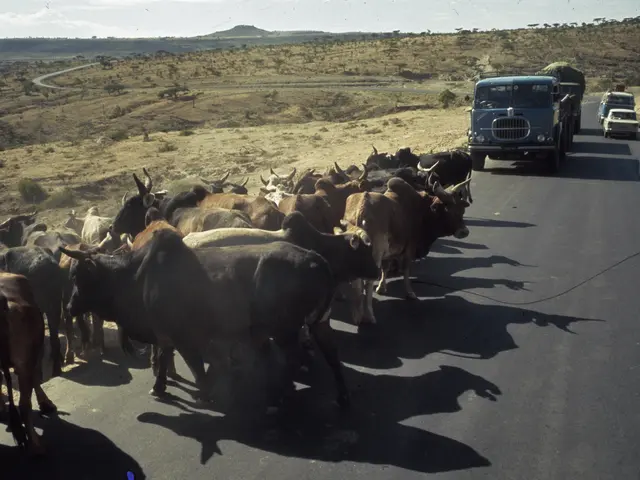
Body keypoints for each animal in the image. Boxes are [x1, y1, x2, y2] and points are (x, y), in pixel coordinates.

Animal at [61, 228, 350, 409]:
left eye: (78, 277)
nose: (69, 306)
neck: (136, 278)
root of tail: (314, 258)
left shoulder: (185, 338)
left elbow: (197, 370)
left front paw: (205, 396)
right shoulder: (164, 334)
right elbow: (164, 360)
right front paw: (159, 387)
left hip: (285, 330)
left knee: (294, 359)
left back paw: (281, 395)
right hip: (319, 323)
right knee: (332, 355)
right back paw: (340, 395)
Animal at [338, 176, 471, 325]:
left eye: (462, 210)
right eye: (453, 210)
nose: (465, 231)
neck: (420, 209)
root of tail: (362, 206)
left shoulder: (388, 253)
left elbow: (385, 268)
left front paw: (381, 288)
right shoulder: (409, 249)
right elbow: (406, 271)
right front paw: (410, 293)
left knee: (357, 282)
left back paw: (357, 315)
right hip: (374, 254)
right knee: (367, 282)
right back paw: (369, 315)